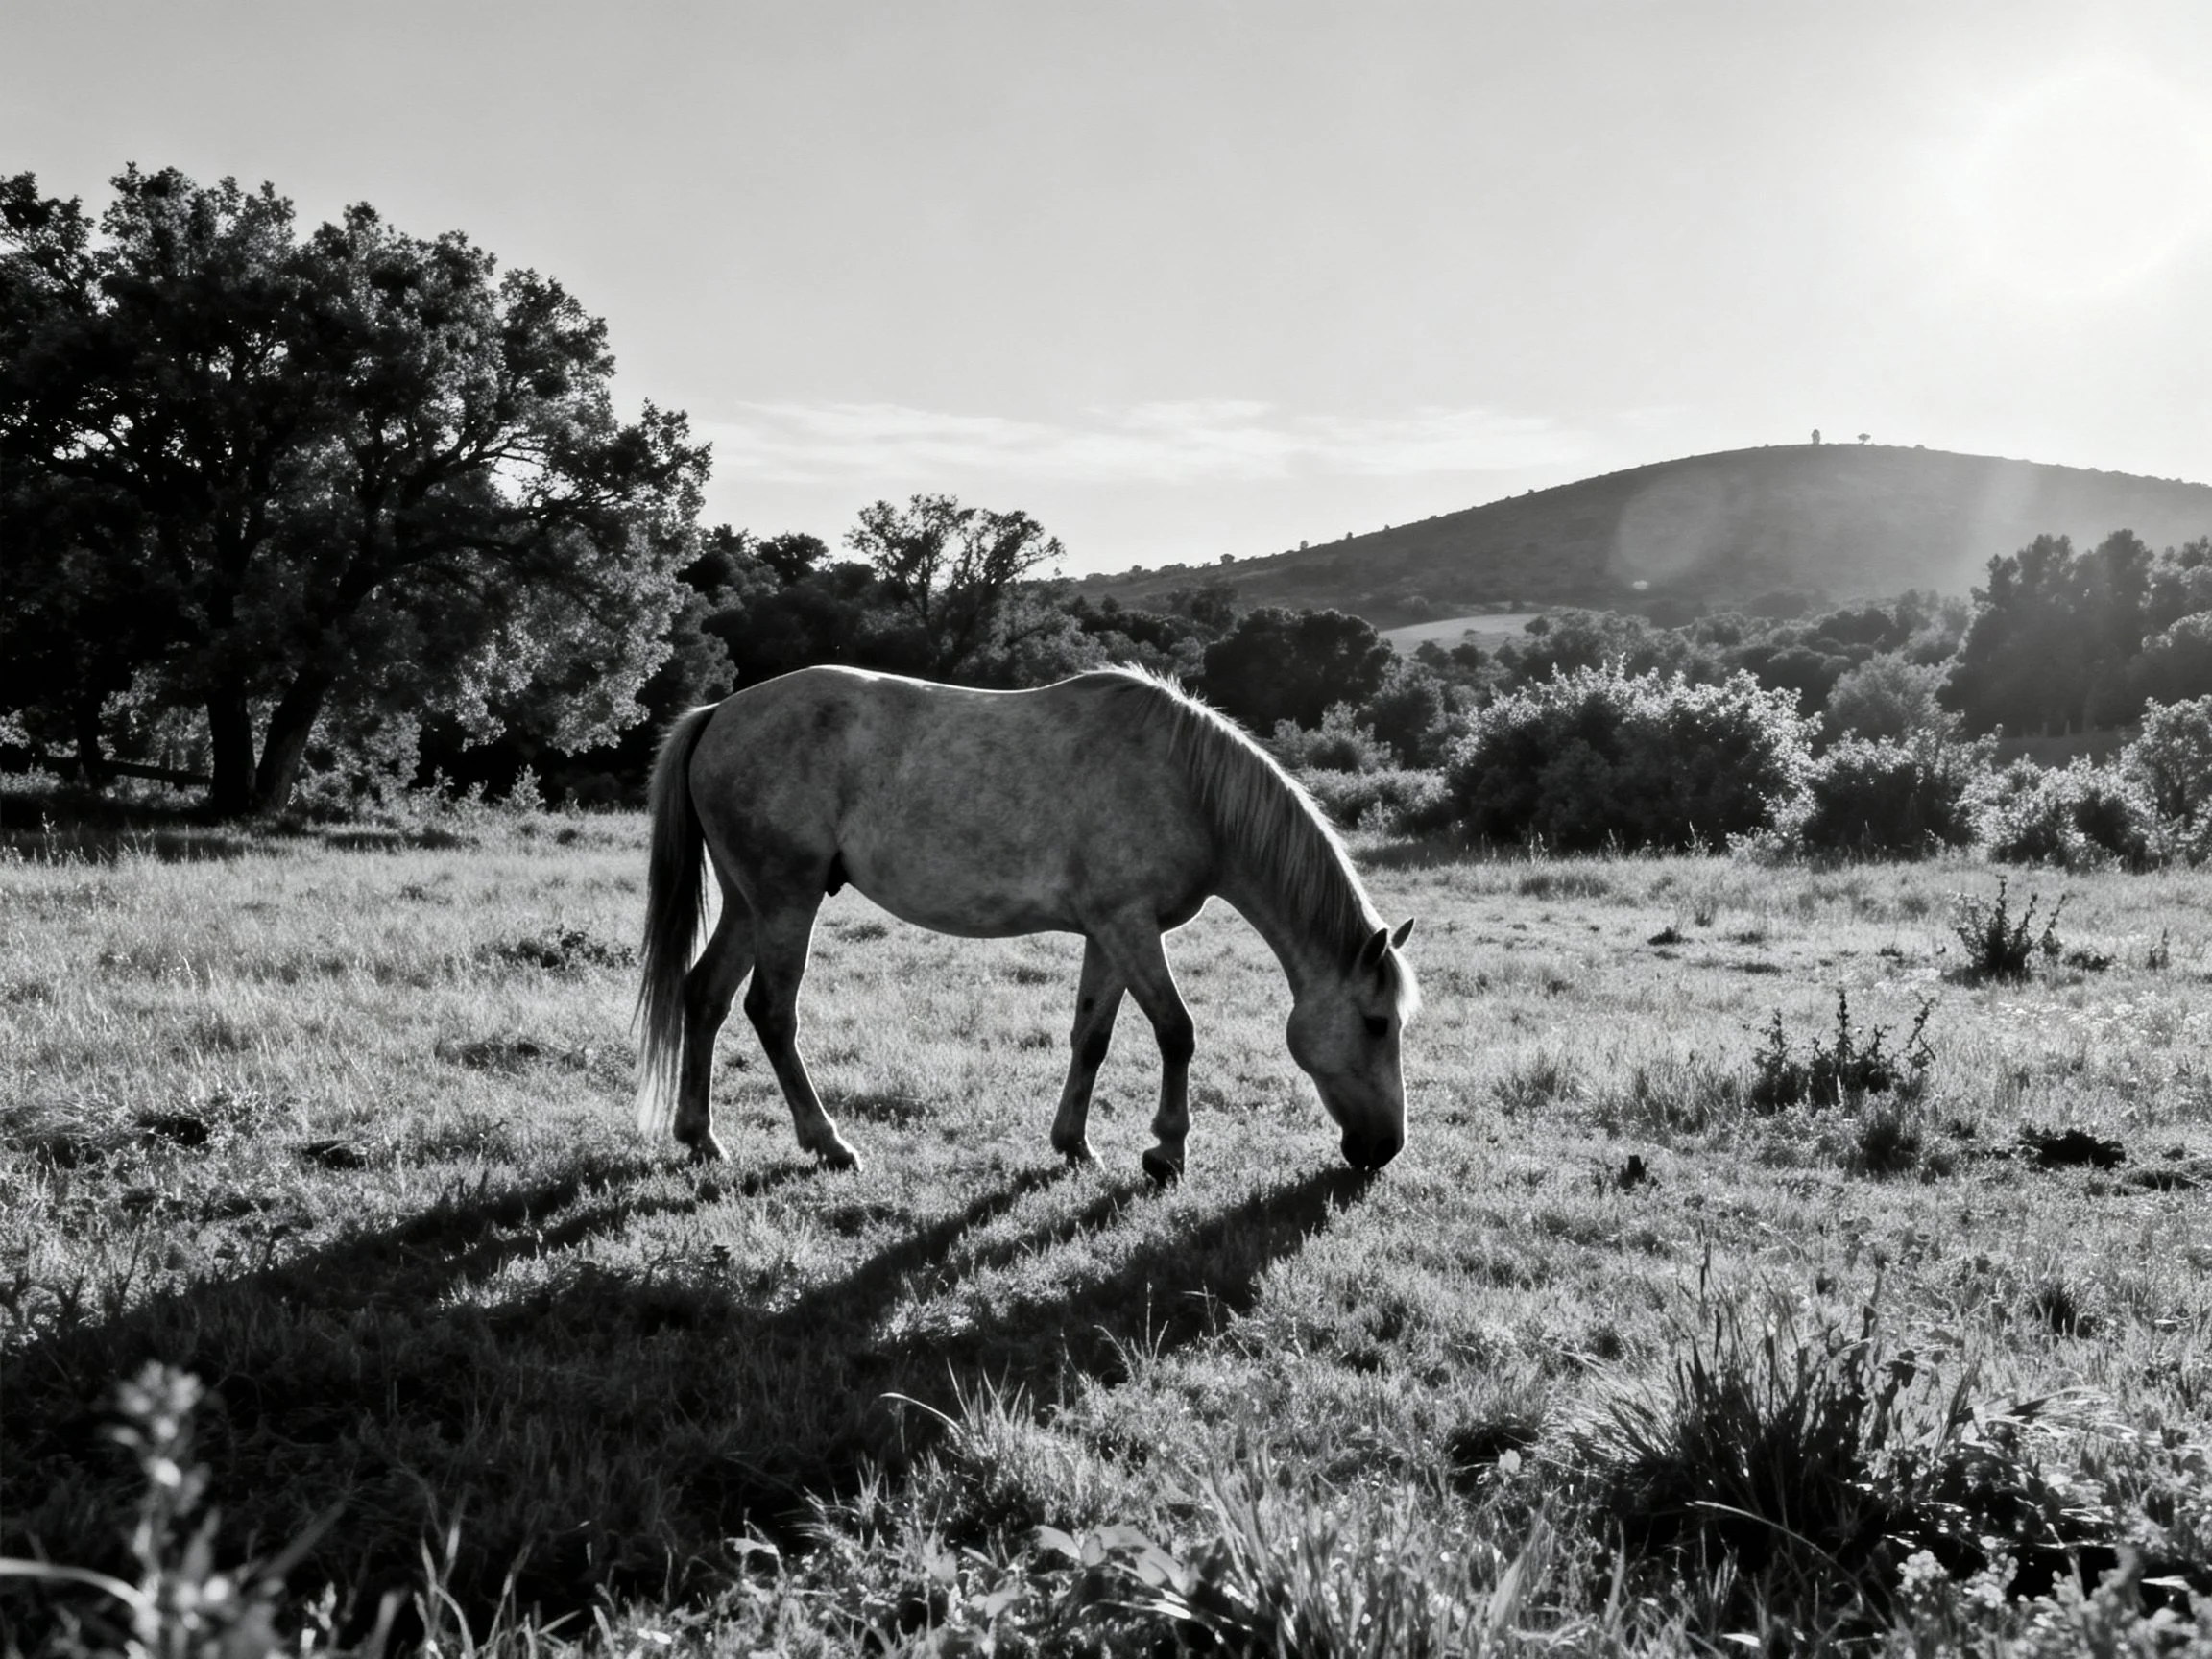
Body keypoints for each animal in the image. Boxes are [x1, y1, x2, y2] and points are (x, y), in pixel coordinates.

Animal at [634, 664, 1418, 1181]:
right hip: (786, 902)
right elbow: (1177, 1032)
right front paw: (1167, 1151)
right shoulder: (1131, 927)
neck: (1188, 787)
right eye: (1378, 1023)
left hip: (749, 903)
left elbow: (1092, 1036)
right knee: (771, 1012)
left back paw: (702, 1138)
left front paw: (1075, 1144)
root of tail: (718, 714)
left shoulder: (1111, 933)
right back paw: (827, 1143)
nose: (1384, 1148)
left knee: (705, 996)